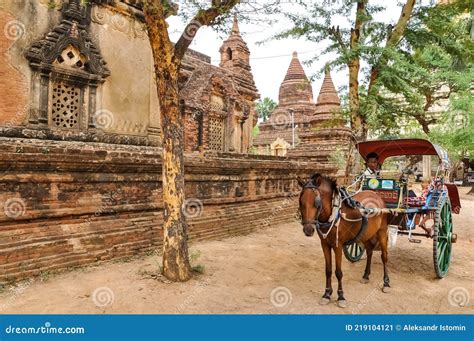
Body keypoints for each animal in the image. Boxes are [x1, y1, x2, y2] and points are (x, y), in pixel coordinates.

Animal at [298, 174, 390, 306]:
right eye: (301, 202)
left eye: (317, 202)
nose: (308, 229)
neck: (334, 214)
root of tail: (377, 195)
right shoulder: (324, 244)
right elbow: (328, 270)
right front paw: (327, 294)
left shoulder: (338, 245)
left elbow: (338, 272)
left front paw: (341, 296)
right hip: (366, 234)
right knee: (369, 251)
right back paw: (366, 276)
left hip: (382, 232)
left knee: (384, 257)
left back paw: (386, 283)